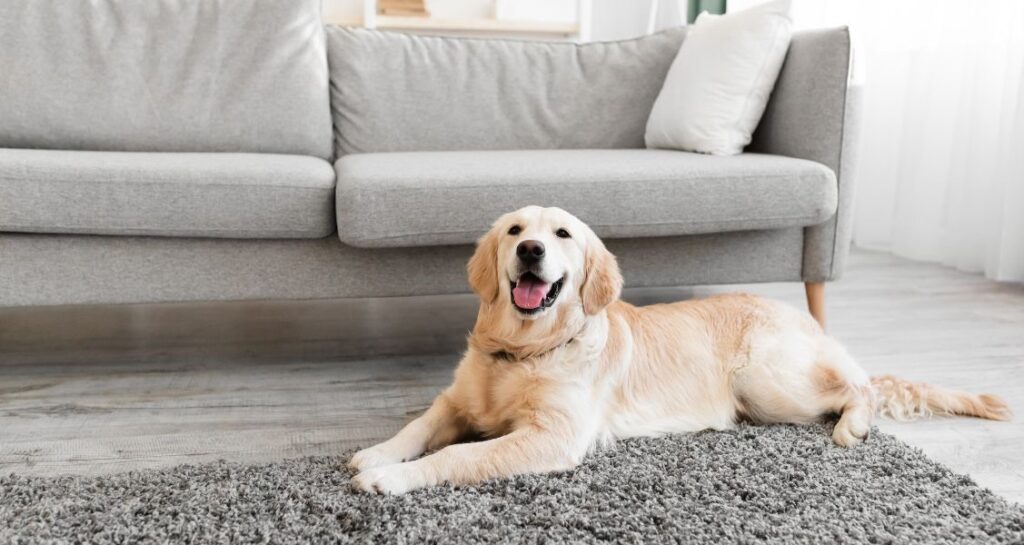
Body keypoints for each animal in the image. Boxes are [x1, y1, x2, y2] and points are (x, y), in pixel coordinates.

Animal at [348, 205, 1011, 493]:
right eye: (514, 231)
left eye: (561, 234)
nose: (530, 250)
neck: (525, 349)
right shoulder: (458, 401)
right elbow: (419, 425)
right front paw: (377, 454)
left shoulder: (552, 437)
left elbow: (459, 455)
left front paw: (392, 479)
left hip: (768, 380)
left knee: (861, 386)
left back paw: (853, 426)